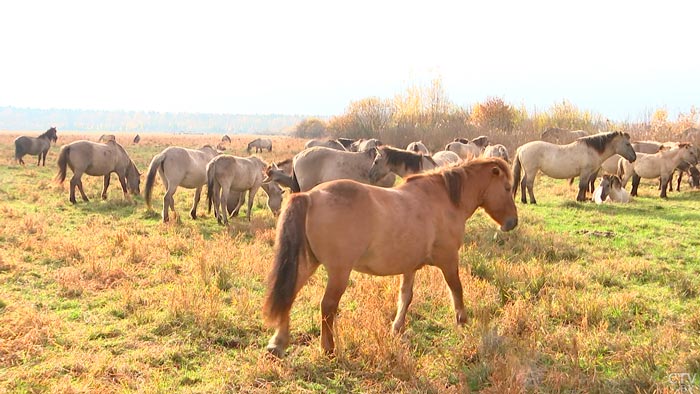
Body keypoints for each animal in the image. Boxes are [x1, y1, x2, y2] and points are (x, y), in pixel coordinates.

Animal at [264, 158, 520, 358]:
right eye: (507, 188)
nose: (512, 223)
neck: (444, 199)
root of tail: (309, 196)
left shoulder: (410, 265)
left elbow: (405, 296)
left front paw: (397, 328)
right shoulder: (448, 260)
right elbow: (456, 289)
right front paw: (462, 321)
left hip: (308, 263)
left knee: (289, 294)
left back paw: (278, 343)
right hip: (339, 272)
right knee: (327, 306)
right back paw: (327, 348)